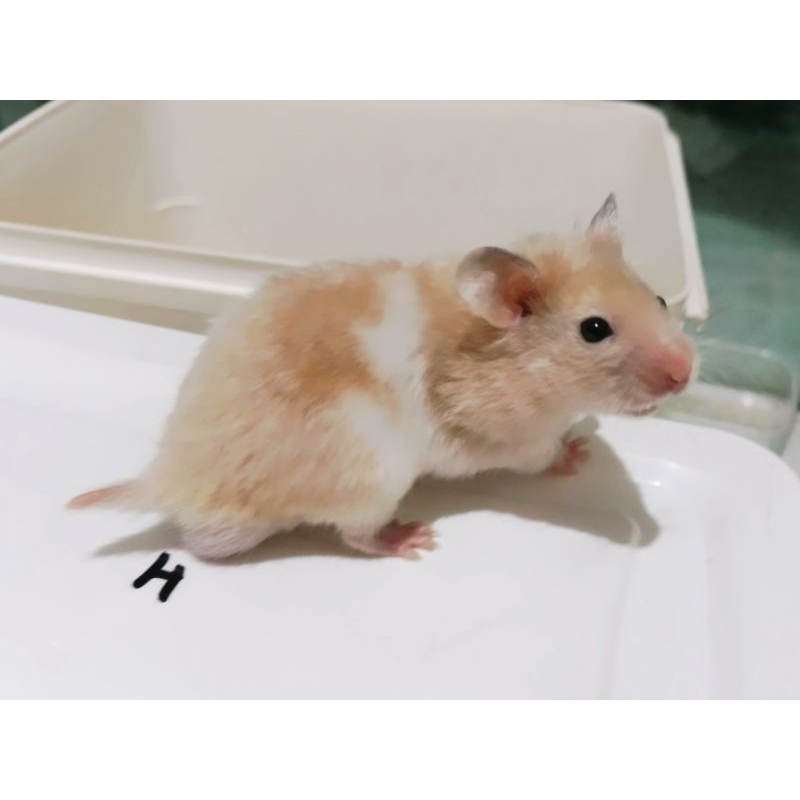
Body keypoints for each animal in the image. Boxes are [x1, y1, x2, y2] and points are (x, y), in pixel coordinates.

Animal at [68, 194, 695, 560]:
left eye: (661, 299)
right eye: (594, 329)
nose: (685, 374)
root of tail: (168, 479)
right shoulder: (507, 439)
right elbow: (542, 455)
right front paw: (579, 453)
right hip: (373, 478)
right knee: (353, 535)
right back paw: (415, 539)